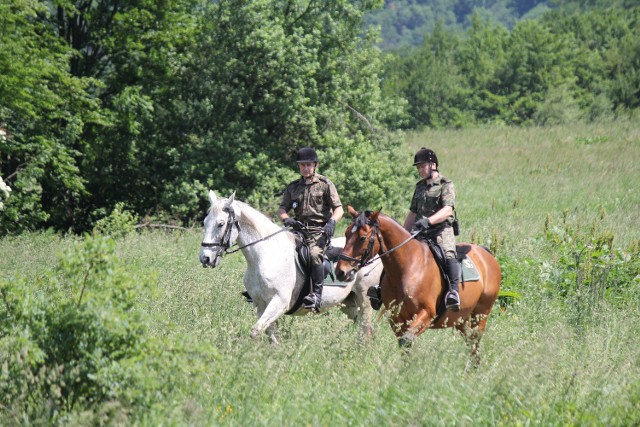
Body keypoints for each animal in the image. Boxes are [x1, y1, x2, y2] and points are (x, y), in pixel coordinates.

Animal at [199, 191, 380, 344]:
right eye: (205, 223)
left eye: (221, 224)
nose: (205, 258)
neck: (266, 255)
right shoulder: (260, 304)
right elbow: (269, 333)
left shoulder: (280, 302)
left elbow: (256, 330)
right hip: (349, 303)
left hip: (365, 299)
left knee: (366, 328)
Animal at [336, 207, 500, 362]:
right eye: (346, 234)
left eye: (362, 237)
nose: (340, 272)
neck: (408, 268)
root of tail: (486, 254)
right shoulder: (396, 318)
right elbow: (404, 345)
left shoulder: (427, 314)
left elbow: (407, 340)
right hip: (461, 318)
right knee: (469, 341)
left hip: (480, 314)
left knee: (475, 340)